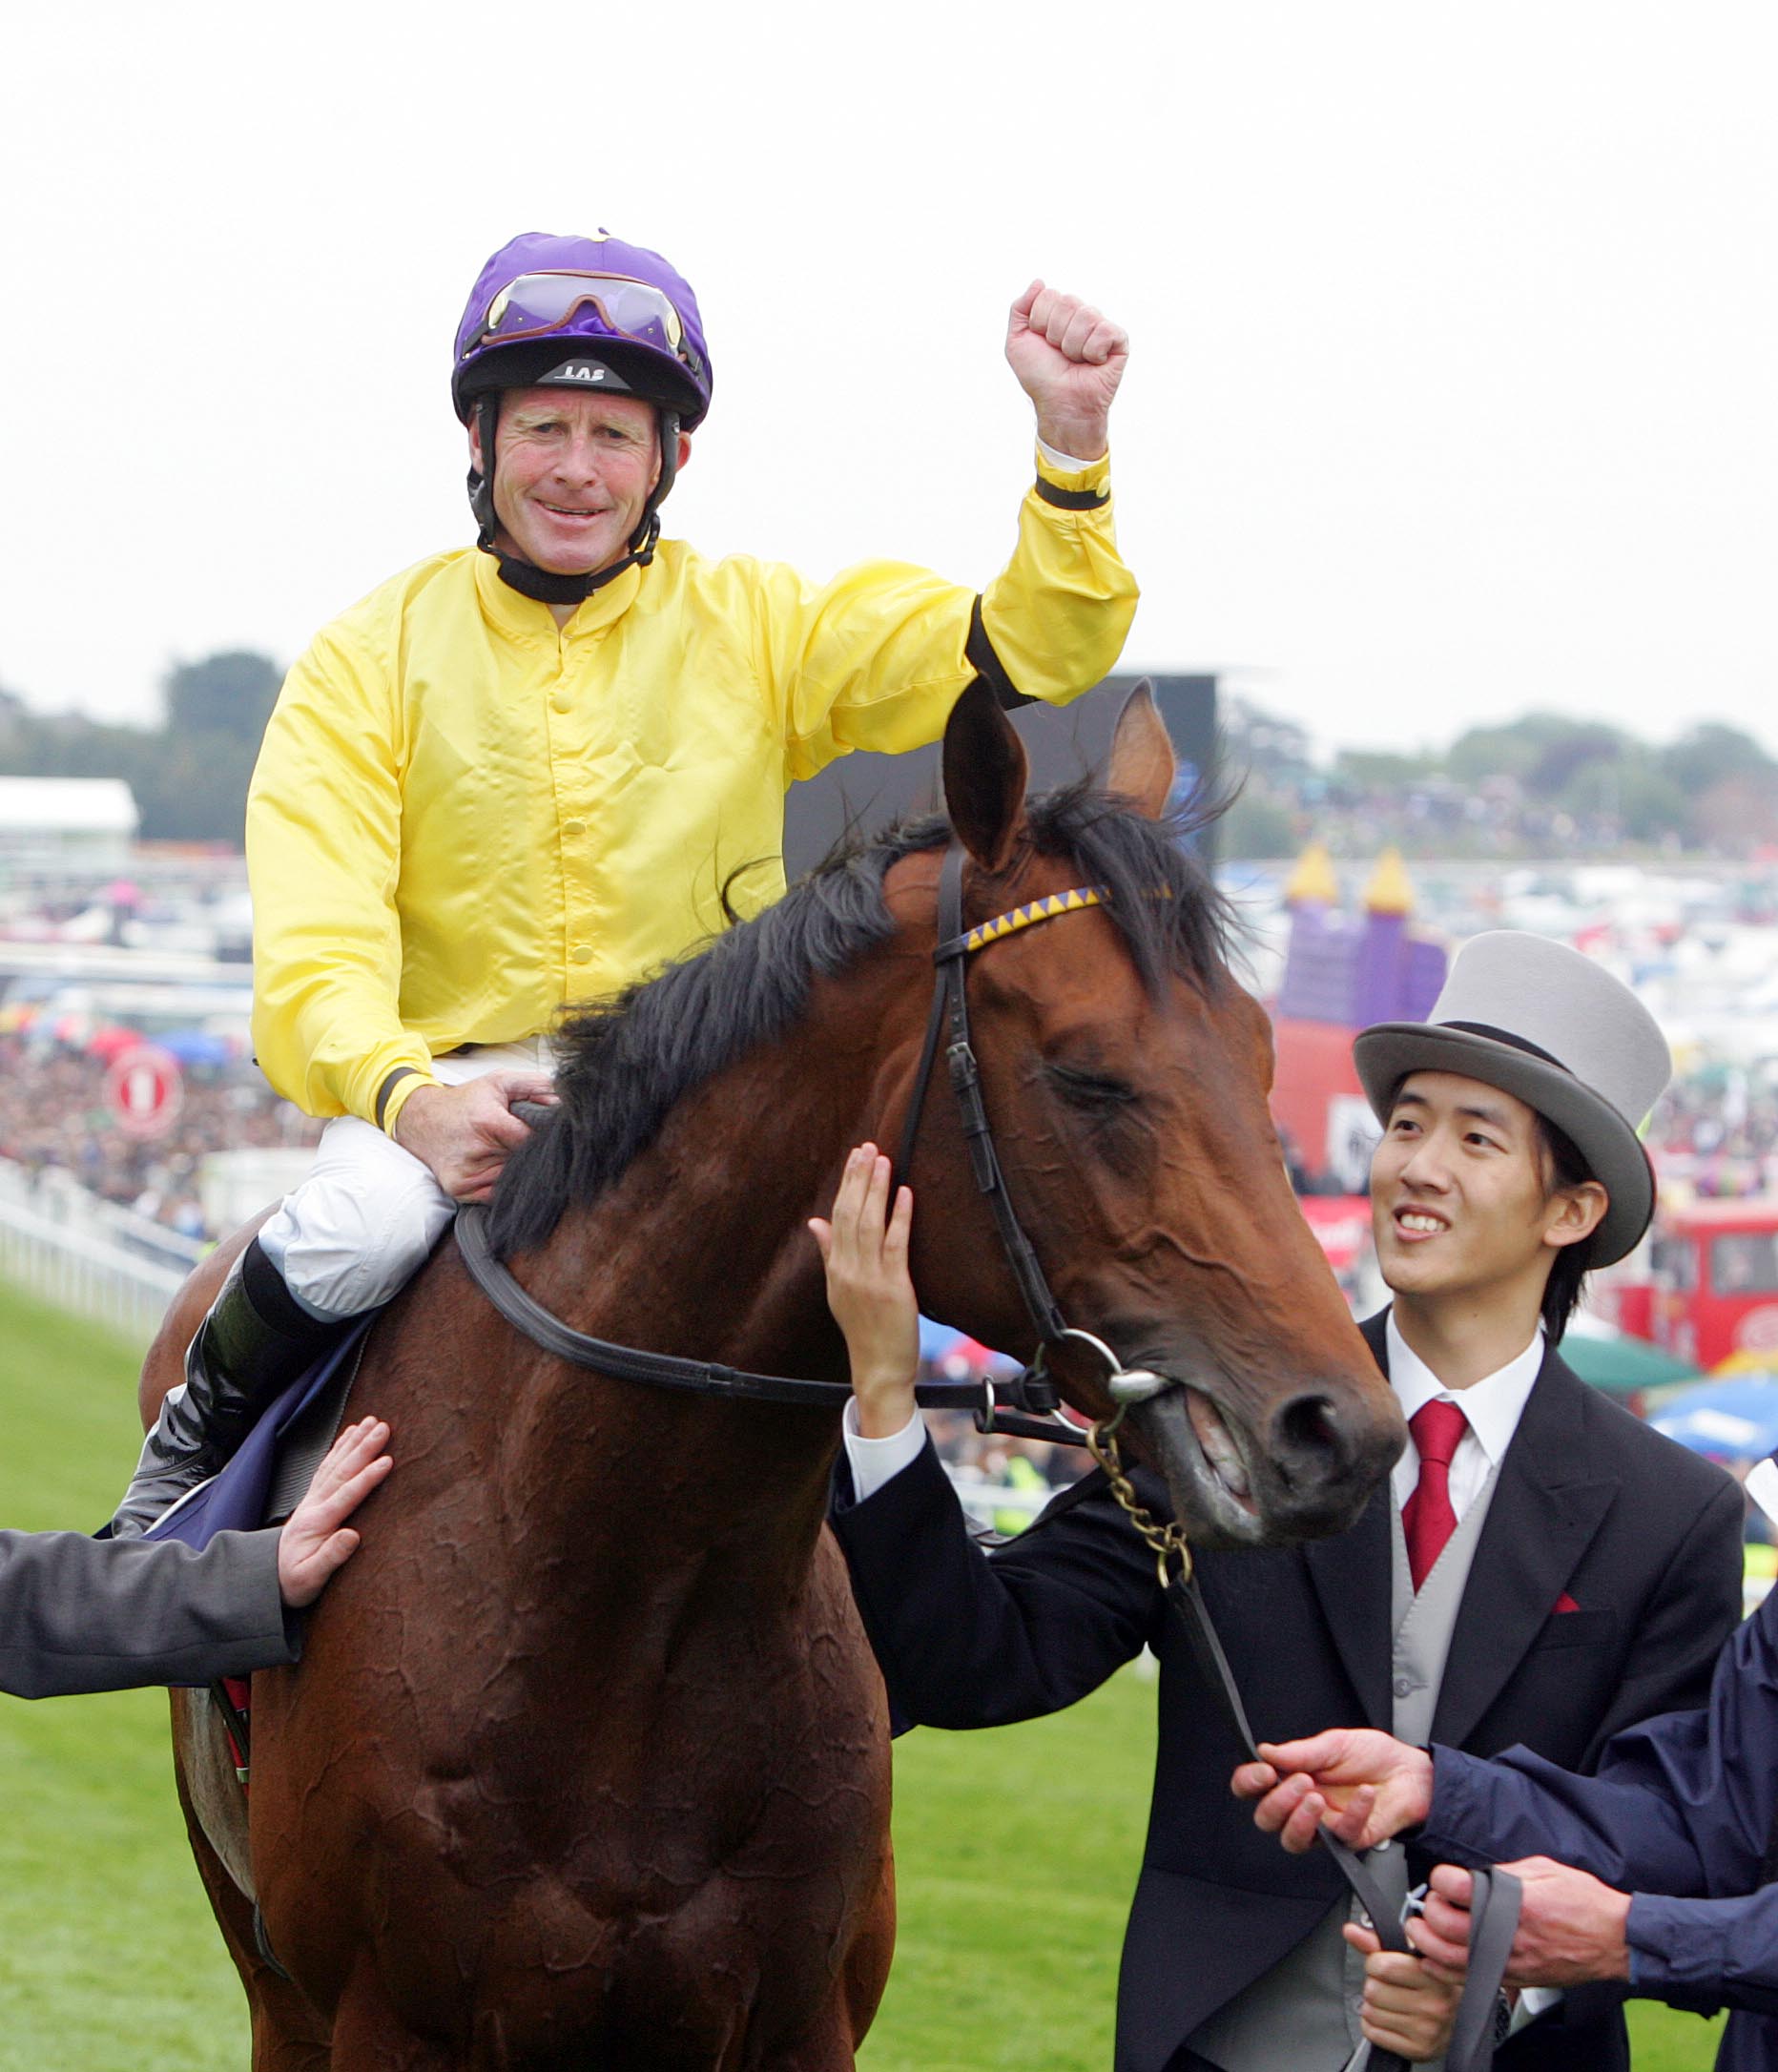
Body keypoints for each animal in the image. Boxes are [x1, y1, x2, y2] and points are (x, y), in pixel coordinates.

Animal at [141, 671, 1400, 2063]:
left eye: (1264, 1053)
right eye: (1087, 1075)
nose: (1338, 1431)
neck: (613, 1589)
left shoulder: (798, 2017)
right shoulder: (393, 2021)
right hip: (272, 1981)